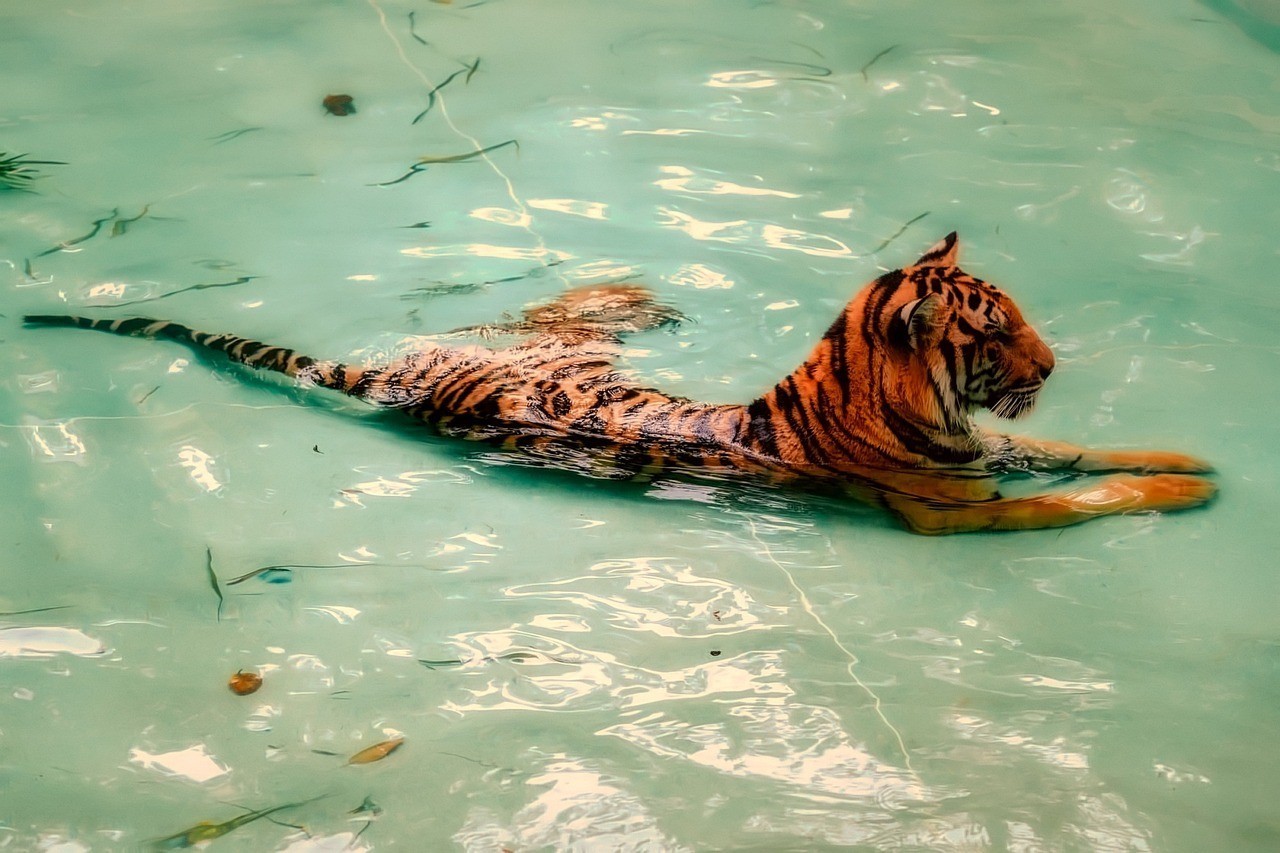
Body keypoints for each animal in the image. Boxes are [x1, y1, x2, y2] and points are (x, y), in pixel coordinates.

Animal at [23, 232, 1216, 534]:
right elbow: (1080, 496)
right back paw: (635, 290)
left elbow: (1084, 452)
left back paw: (638, 292)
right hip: (525, 347)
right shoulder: (957, 509)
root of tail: (388, 376)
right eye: (997, 330)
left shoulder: (992, 450)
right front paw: (1178, 489)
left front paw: (1188, 458)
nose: (1053, 366)